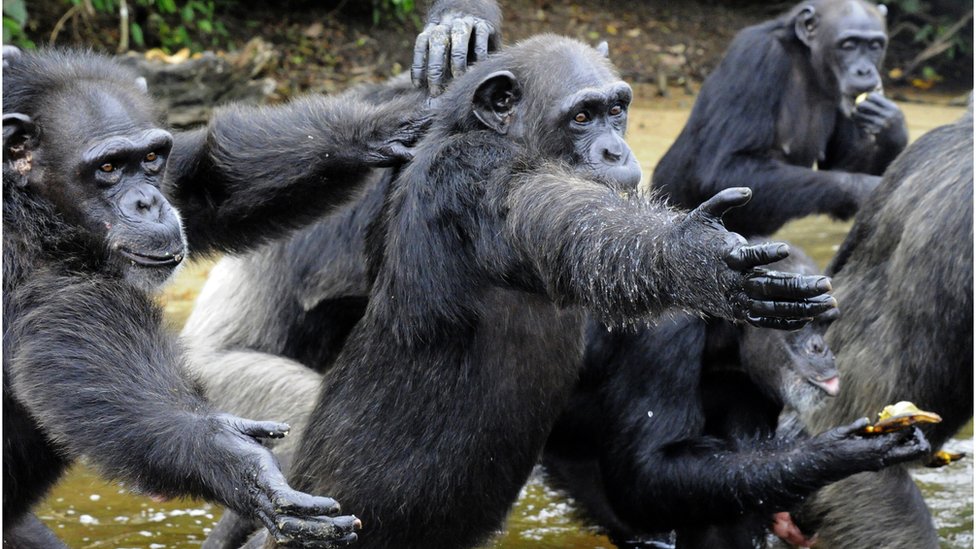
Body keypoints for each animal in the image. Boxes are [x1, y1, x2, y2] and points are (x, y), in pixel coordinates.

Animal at [0, 46, 430, 544]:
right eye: (107, 168)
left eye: (151, 158)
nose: (148, 203)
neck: (35, 207)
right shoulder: (29, 268)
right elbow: (96, 367)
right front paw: (244, 467)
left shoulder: (178, 179)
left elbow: (209, 178)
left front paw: (383, 125)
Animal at [540, 245, 932, 548]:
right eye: (805, 321)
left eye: (825, 323)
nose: (823, 349)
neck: (721, 328)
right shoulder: (664, 333)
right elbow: (648, 469)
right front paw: (835, 453)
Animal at [652, 0, 912, 235]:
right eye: (848, 45)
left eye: (875, 45)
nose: (864, 70)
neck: (808, 63)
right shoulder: (757, 55)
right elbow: (726, 167)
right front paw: (867, 189)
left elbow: (842, 167)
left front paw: (891, 125)